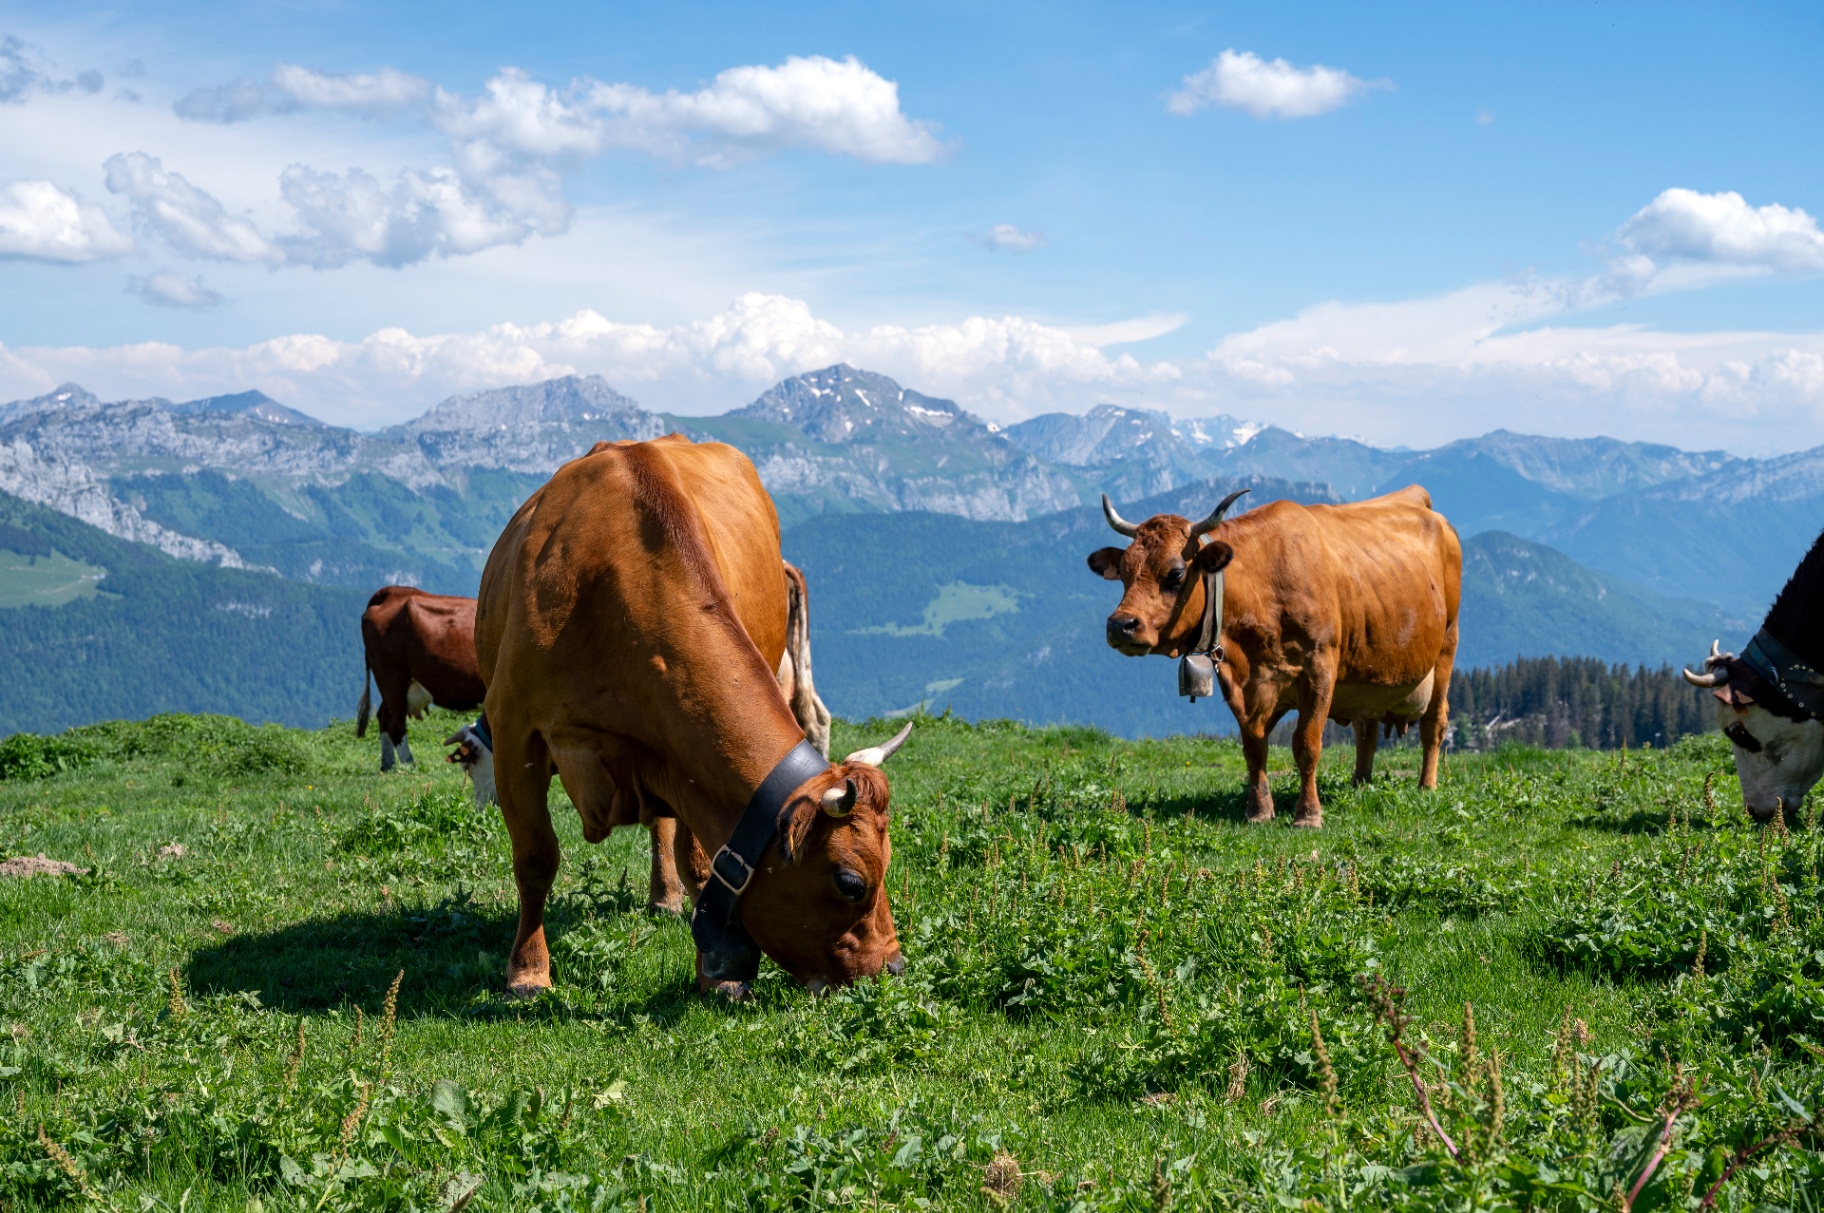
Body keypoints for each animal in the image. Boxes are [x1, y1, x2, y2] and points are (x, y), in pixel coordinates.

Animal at [356, 586, 487, 772]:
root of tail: (393, 592)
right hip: (392, 677)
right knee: (394, 723)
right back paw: (409, 765)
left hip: (396, 686)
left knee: (383, 717)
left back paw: (388, 765)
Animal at [475, 434, 910, 998]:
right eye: (852, 882)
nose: (893, 968)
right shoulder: (512, 732)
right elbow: (535, 859)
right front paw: (528, 971)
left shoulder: (686, 762)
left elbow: (702, 863)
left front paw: (716, 974)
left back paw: (665, 896)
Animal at [1088, 485, 1462, 828]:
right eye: (1124, 571)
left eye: (1175, 573)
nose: (1120, 625)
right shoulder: (1241, 681)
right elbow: (1254, 748)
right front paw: (1259, 812)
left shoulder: (1319, 670)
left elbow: (1307, 744)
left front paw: (1308, 815)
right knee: (1365, 728)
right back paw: (1360, 783)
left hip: (1446, 645)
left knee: (1434, 722)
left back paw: (1426, 786)